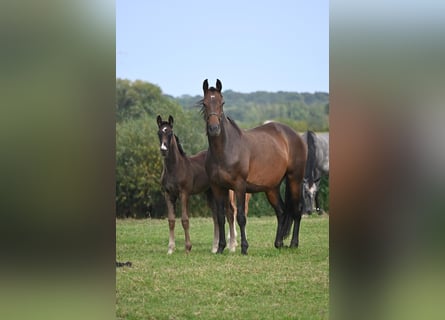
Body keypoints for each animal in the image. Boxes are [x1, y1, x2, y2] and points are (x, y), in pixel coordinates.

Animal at [156, 116, 243, 254]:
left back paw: (232, 246)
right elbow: (171, 220)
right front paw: (170, 249)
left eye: (169, 133)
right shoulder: (168, 194)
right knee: (215, 217)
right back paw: (214, 247)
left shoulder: (184, 194)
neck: (175, 168)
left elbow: (185, 220)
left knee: (230, 212)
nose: (163, 150)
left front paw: (188, 248)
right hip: (210, 193)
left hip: (225, 191)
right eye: (159, 133)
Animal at [200, 80, 306, 255]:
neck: (226, 149)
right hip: (272, 188)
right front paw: (221, 247)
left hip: (294, 179)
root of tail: (295, 135)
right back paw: (278, 243)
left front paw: (244, 247)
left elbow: (241, 217)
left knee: (297, 210)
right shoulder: (218, 187)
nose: (214, 129)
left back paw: (293, 243)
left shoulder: (239, 186)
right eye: (205, 103)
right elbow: (221, 217)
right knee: (281, 212)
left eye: (222, 103)